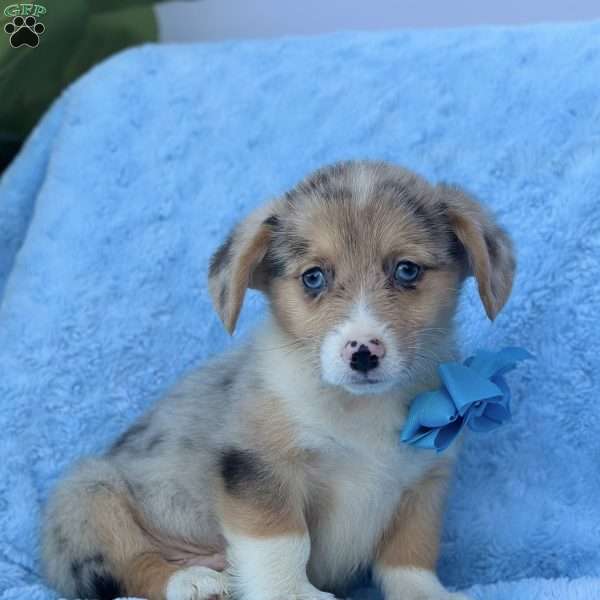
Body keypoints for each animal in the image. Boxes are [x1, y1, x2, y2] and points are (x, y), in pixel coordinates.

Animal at [42, 161, 512, 600]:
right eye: (314, 277)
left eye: (407, 270)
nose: (362, 353)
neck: (357, 408)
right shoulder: (261, 469)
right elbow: (283, 544)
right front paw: (291, 593)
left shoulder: (422, 486)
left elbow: (410, 557)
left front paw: (426, 594)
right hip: (90, 494)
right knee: (134, 565)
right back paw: (194, 580)